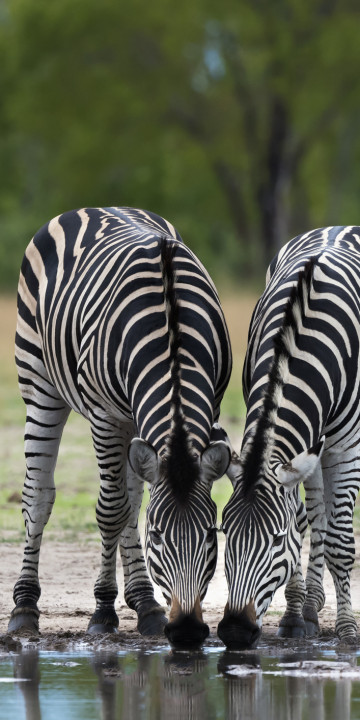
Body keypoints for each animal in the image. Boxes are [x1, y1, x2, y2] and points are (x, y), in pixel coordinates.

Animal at [9, 205, 233, 644]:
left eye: (210, 534)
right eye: (158, 537)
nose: (186, 632)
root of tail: (95, 207)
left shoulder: (209, 405)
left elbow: (130, 506)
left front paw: (140, 606)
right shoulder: (106, 417)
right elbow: (110, 510)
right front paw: (102, 611)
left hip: (134, 420)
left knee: (133, 499)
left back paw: (145, 602)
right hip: (40, 384)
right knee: (38, 496)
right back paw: (25, 607)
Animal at [217, 228, 360, 648]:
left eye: (276, 541)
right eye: (225, 532)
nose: (234, 630)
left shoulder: (345, 447)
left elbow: (341, 542)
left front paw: (347, 630)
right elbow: (303, 520)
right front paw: (296, 616)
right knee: (318, 515)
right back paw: (311, 607)